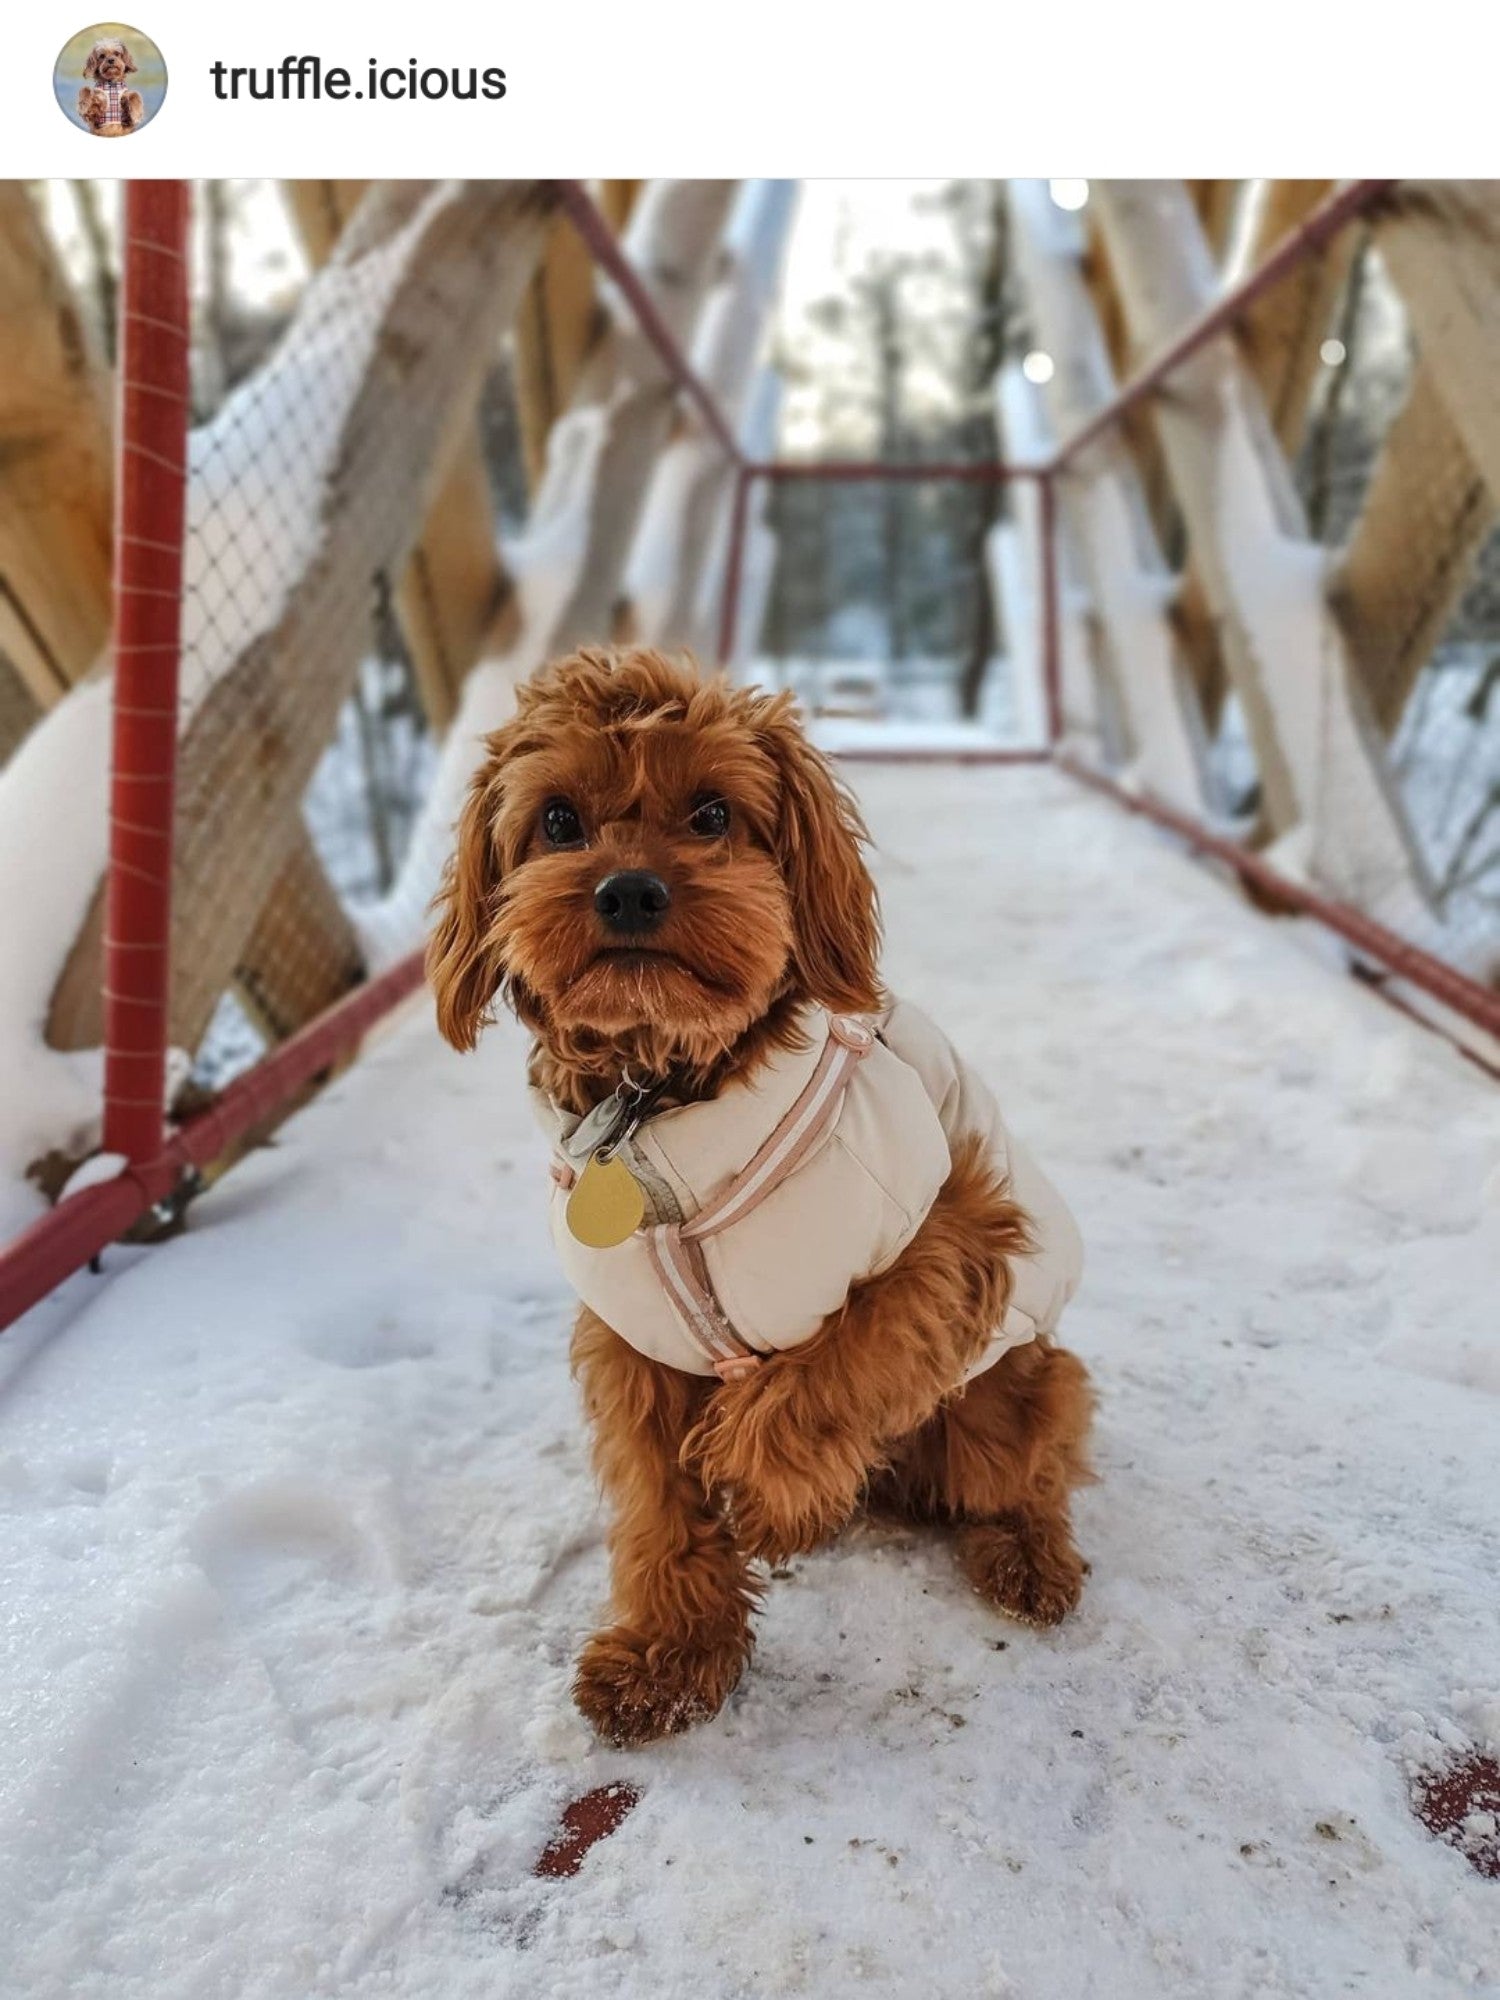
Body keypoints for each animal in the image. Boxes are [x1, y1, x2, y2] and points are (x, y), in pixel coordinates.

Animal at [428, 648, 1096, 1744]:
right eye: (559, 820)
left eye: (711, 813)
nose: (630, 891)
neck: (660, 1104)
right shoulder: (637, 1344)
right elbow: (662, 1503)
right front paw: (667, 1658)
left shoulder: (951, 1240)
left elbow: (826, 1375)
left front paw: (767, 1495)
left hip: (1013, 1387)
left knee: (1029, 1471)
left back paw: (1027, 1555)